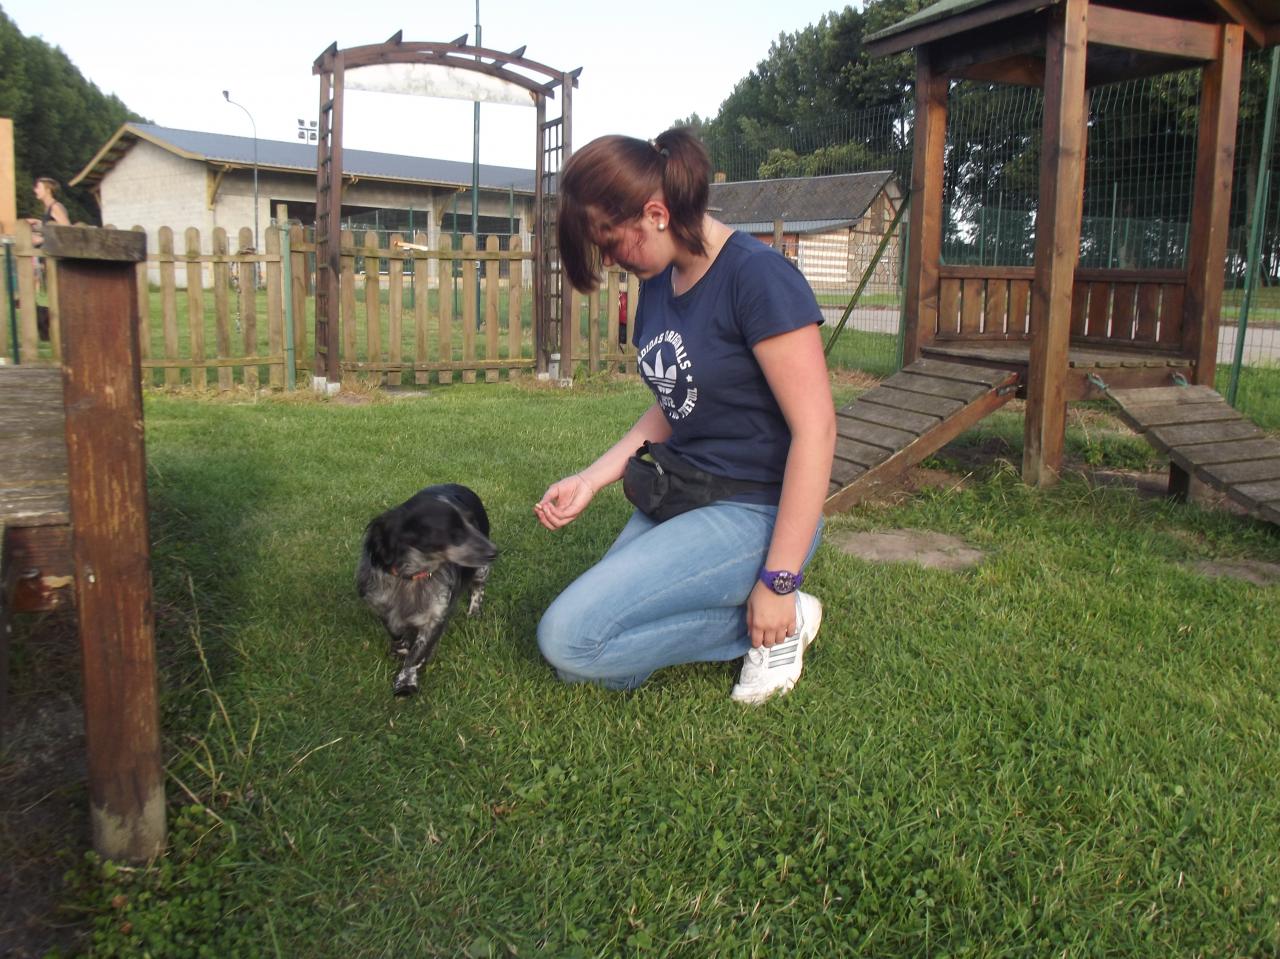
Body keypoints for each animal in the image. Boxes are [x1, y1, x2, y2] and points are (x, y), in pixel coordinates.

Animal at [363, 486, 501, 696]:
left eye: (472, 523)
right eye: (452, 530)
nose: (495, 551)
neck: (412, 575)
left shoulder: (435, 616)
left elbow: (417, 653)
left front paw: (406, 682)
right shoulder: (381, 606)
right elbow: (395, 632)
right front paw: (401, 648)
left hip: (480, 570)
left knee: (478, 588)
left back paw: (474, 611)